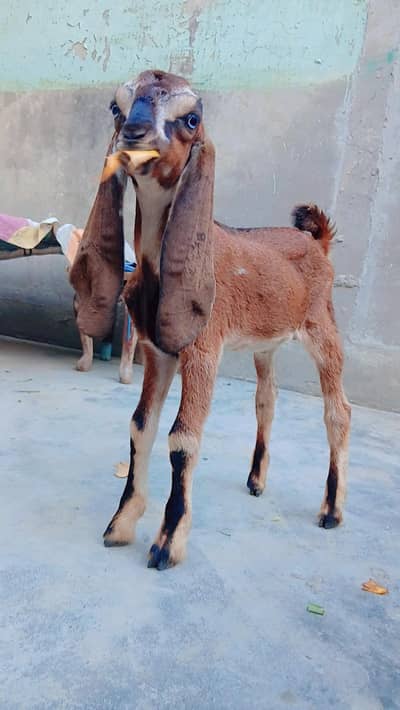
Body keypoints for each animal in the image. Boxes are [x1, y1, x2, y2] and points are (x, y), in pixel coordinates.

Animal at [70, 70, 351, 570]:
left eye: (191, 118)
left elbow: (183, 437)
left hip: (323, 329)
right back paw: (257, 480)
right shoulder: (157, 350)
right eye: (117, 107)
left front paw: (167, 543)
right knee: (266, 400)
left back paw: (331, 511)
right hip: (265, 345)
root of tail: (317, 242)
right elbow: (141, 425)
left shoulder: (203, 349)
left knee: (338, 411)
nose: (134, 134)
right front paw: (120, 525)